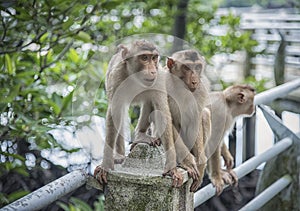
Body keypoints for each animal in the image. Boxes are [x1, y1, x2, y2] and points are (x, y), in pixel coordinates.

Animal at [94, 40, 183, 187]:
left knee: (149, 101)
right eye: (144, 58)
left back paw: (142, 135)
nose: (152, 70)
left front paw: (172, 167)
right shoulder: (117, 77)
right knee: (120, 112)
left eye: (154, 58)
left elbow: (162, 111)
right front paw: (105, 165)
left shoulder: (159, 78)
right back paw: (119, 155)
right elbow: (115, 113)